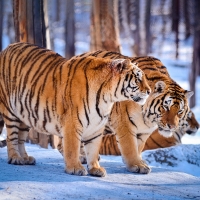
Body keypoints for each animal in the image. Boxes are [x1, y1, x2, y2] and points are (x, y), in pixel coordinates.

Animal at [0, 42, 151, 177]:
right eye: (138, 78)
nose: (149, 91)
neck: (107, 98)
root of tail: (7, 48)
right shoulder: (72, 124)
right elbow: (72, 148)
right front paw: (75, 168)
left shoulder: (96, 126)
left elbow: (93, 149)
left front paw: (95, 169)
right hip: (10, 111)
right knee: (11, 137)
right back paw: (15, 158)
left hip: (23, 115)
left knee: (20, 138)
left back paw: (25, 158)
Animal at [55, 50, 193, 174]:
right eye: (165, 107)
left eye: (180, 111)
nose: (172, 126)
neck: (147, 118)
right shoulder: (124, 123)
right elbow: (130, 146)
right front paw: (137, 165)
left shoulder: (144, 132)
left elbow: (138, 147)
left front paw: (138, 161)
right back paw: (80, 158)